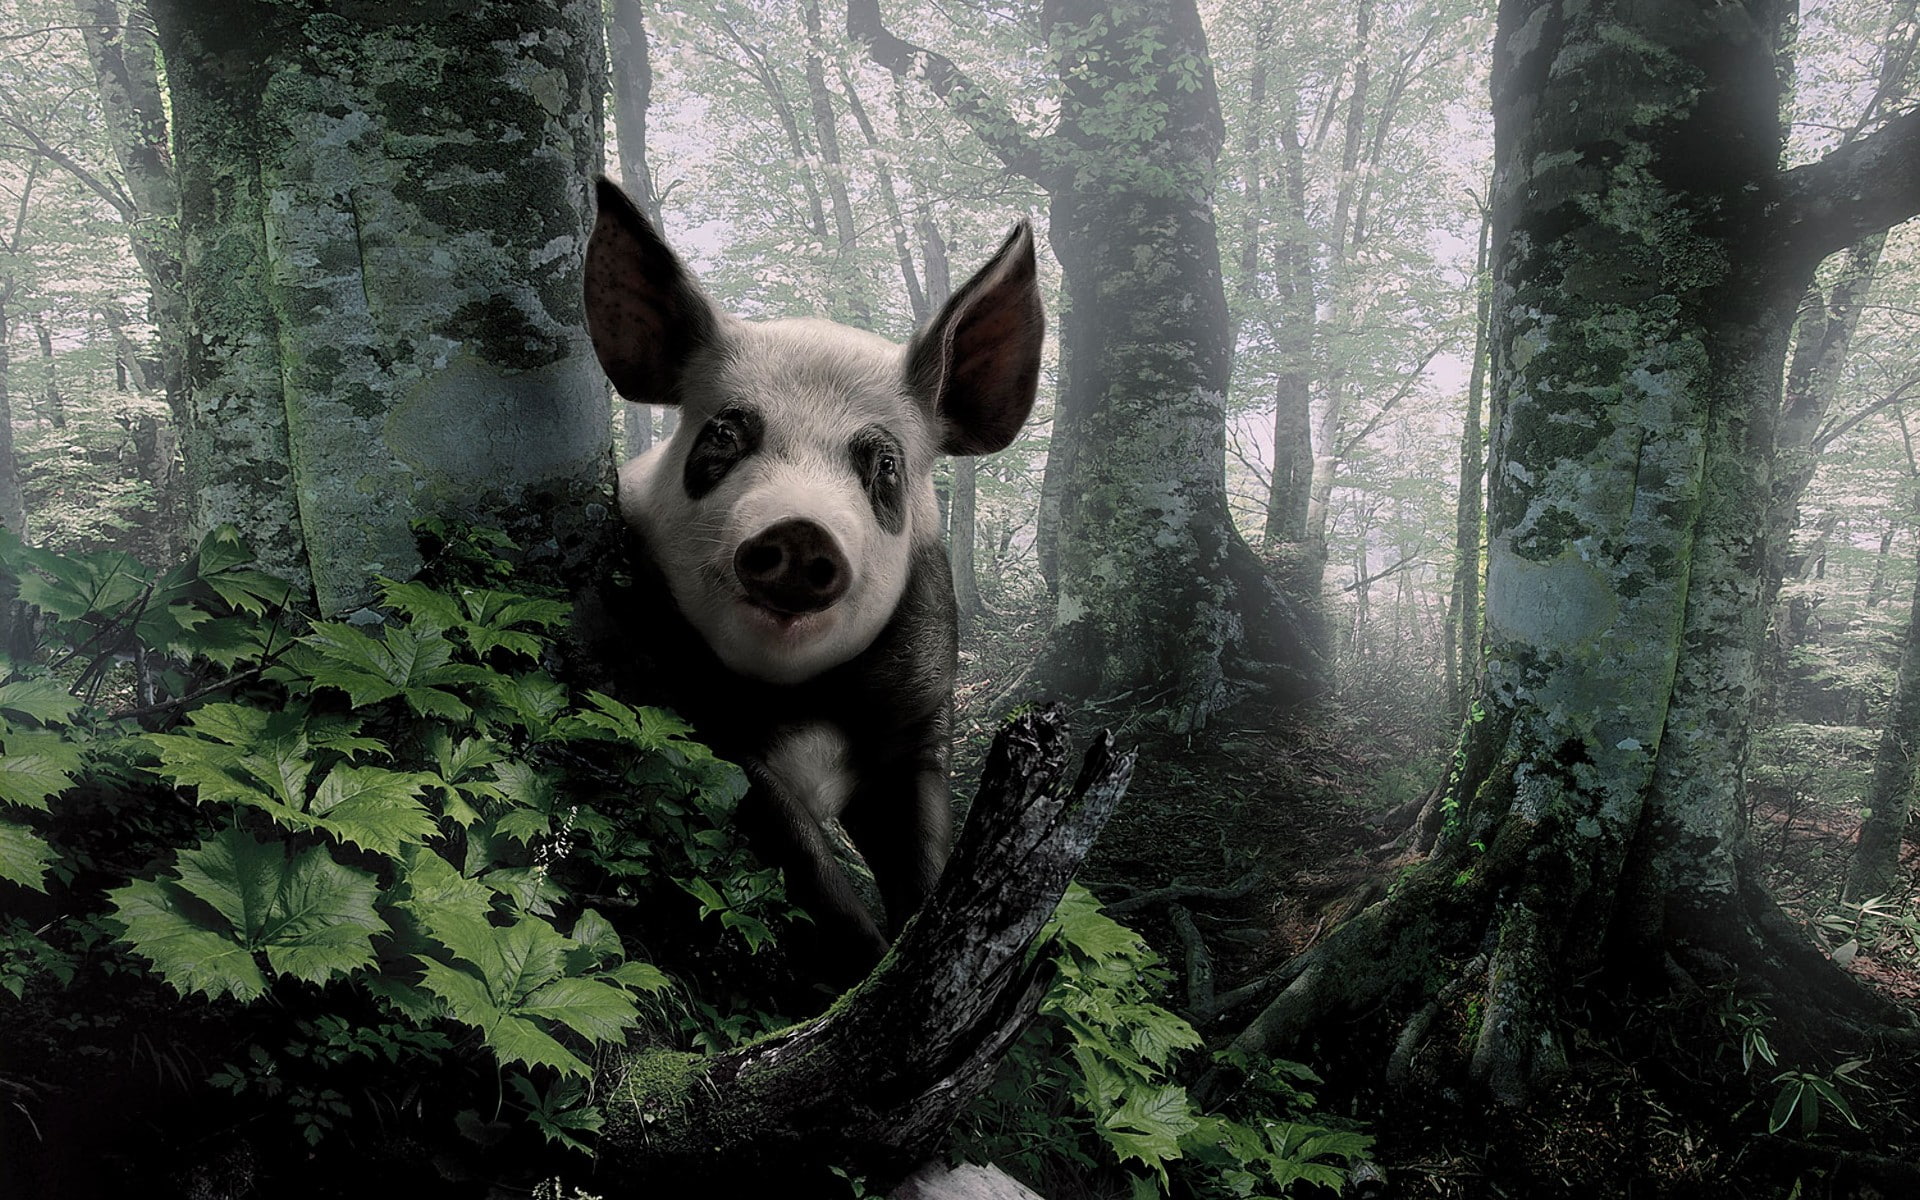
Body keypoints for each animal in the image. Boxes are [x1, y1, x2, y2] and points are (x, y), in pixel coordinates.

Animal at [580, 177, 1043, 979]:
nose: (799, 531)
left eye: (884, 465)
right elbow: (802, 859)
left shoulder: (921, 717)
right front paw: (867, 964)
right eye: (724, 436)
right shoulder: (689, 708)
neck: (805, 700)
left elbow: (922, 851)